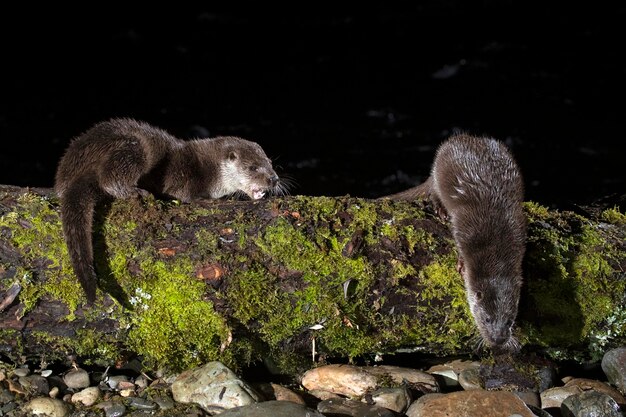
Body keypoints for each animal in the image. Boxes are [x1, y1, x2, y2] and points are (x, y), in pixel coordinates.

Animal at [55, 117, 280, 302]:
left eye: (270, 163)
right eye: (253, 167)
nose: (274, 179)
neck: (210, 168)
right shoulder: (183, 172)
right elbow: (183, 194)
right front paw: (208, 200)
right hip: (133, 147)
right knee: (111, 178)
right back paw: (136, 192)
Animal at [382, 134, 524, 352]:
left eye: (509, 321)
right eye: (487, 319)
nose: (498, 339)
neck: (497, 246)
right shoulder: (466, 227)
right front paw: (461, 265)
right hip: (439, 172)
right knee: (434, 192)